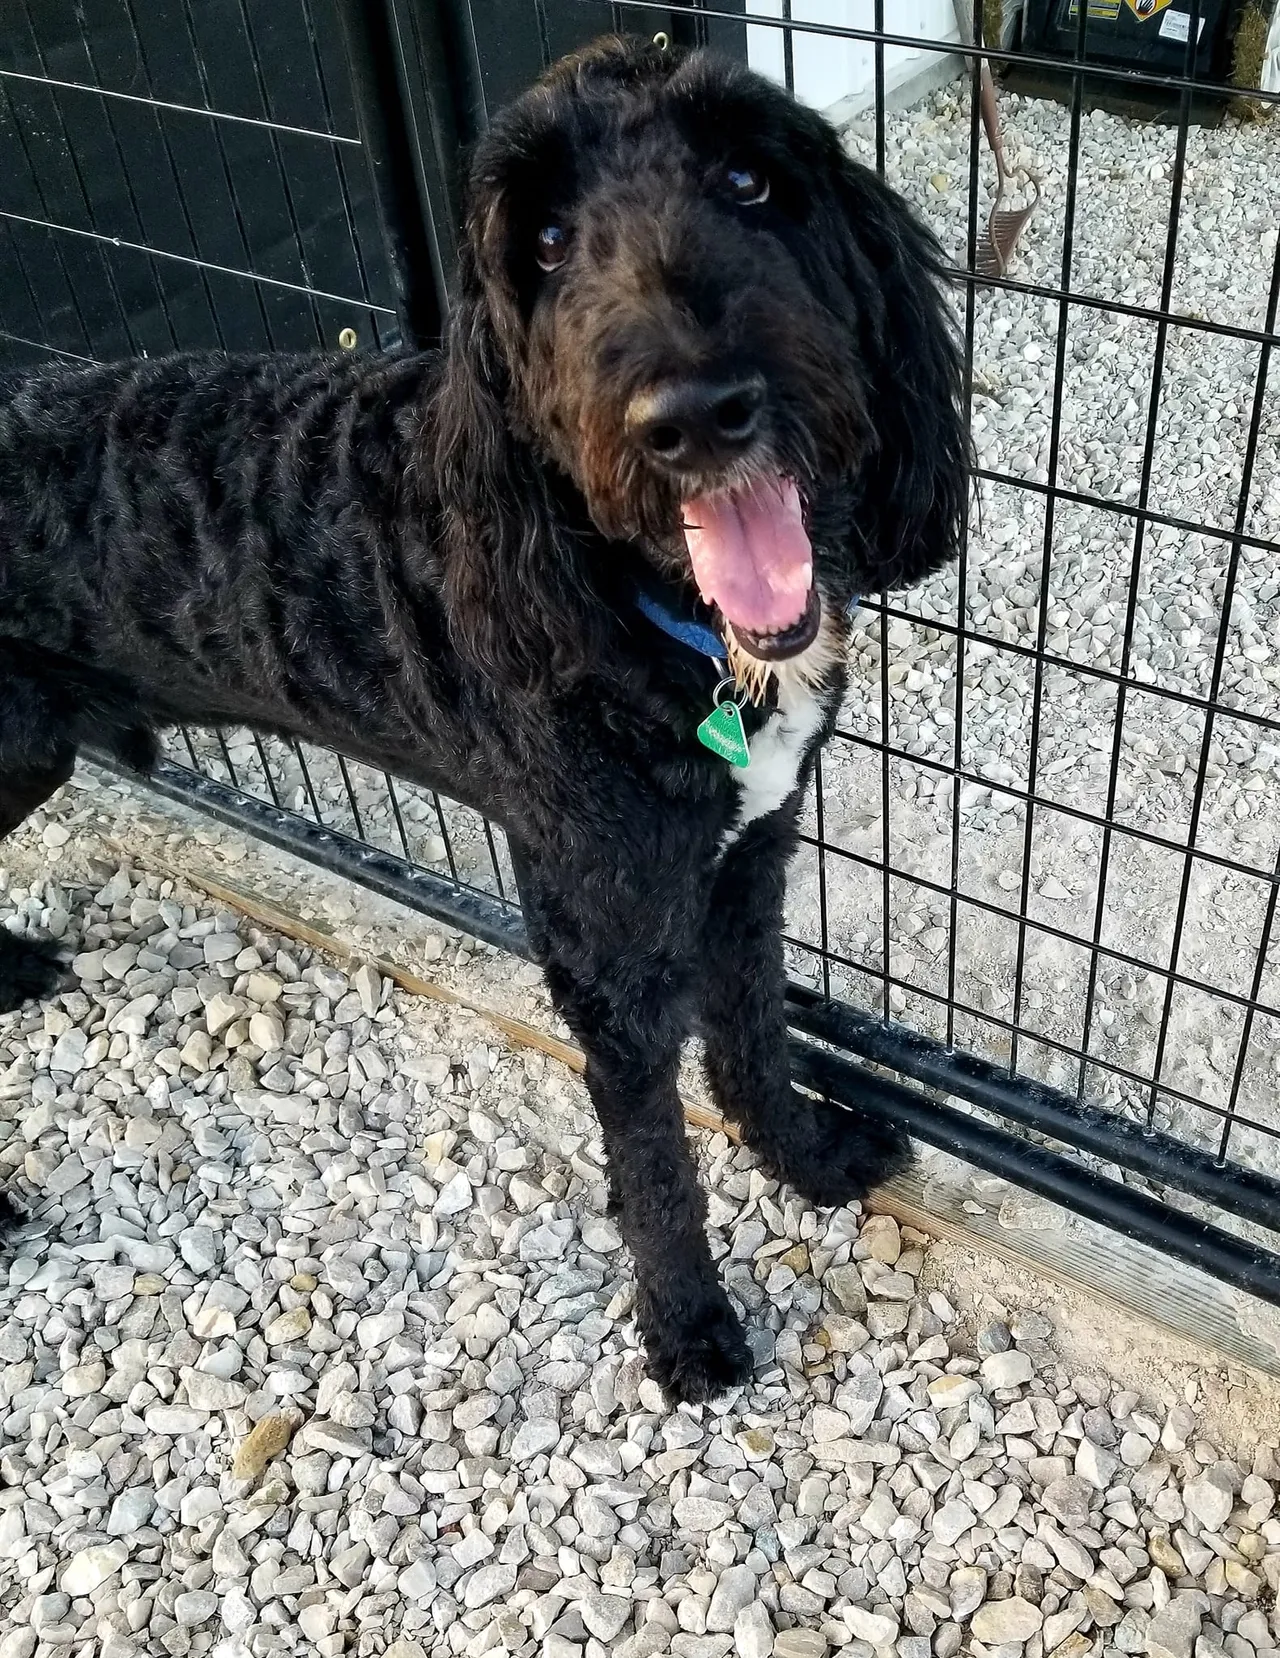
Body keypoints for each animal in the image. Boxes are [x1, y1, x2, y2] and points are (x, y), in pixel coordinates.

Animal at [0, 38, 961, 1405]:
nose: (692, 411)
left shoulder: (746, 860)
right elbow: (653, 1159)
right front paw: (686, 1325)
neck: (654, 631)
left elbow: (755, 1037)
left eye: (747, 177)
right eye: (545, 244)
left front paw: (807, 1161)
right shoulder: (603, 936)